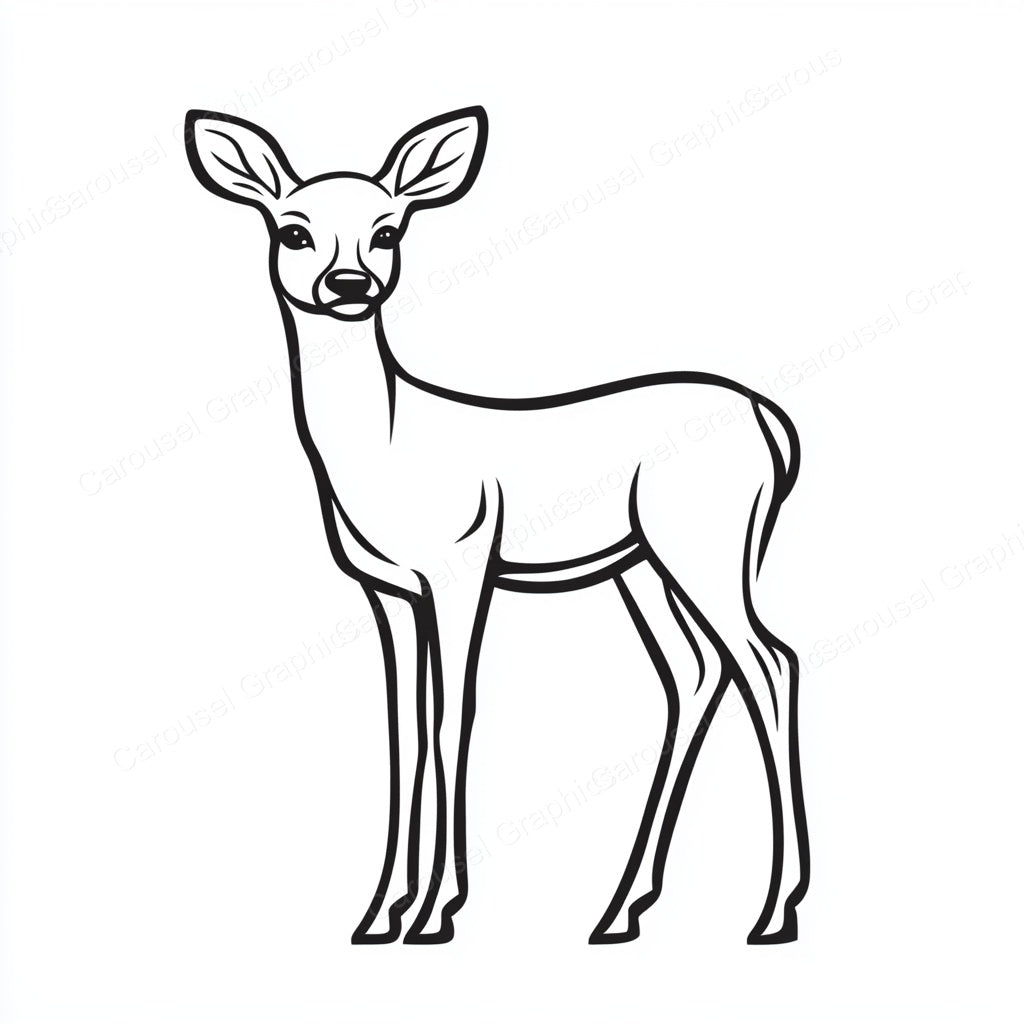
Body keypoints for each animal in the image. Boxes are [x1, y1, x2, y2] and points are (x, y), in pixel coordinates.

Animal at [184, 105, 810, 945]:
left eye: (388, 230)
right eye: (293, 230)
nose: (349, 284)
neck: (386, 449)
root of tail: (769, 421)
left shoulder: (462, 565)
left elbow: (456, 716)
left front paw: (436, 912)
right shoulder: (388, 590)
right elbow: (405, 729)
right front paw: (379, 914)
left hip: (705, 543)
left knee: (769, 663)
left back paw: (773, 911)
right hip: (644, 565)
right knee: (697, 674)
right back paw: (621, 909)